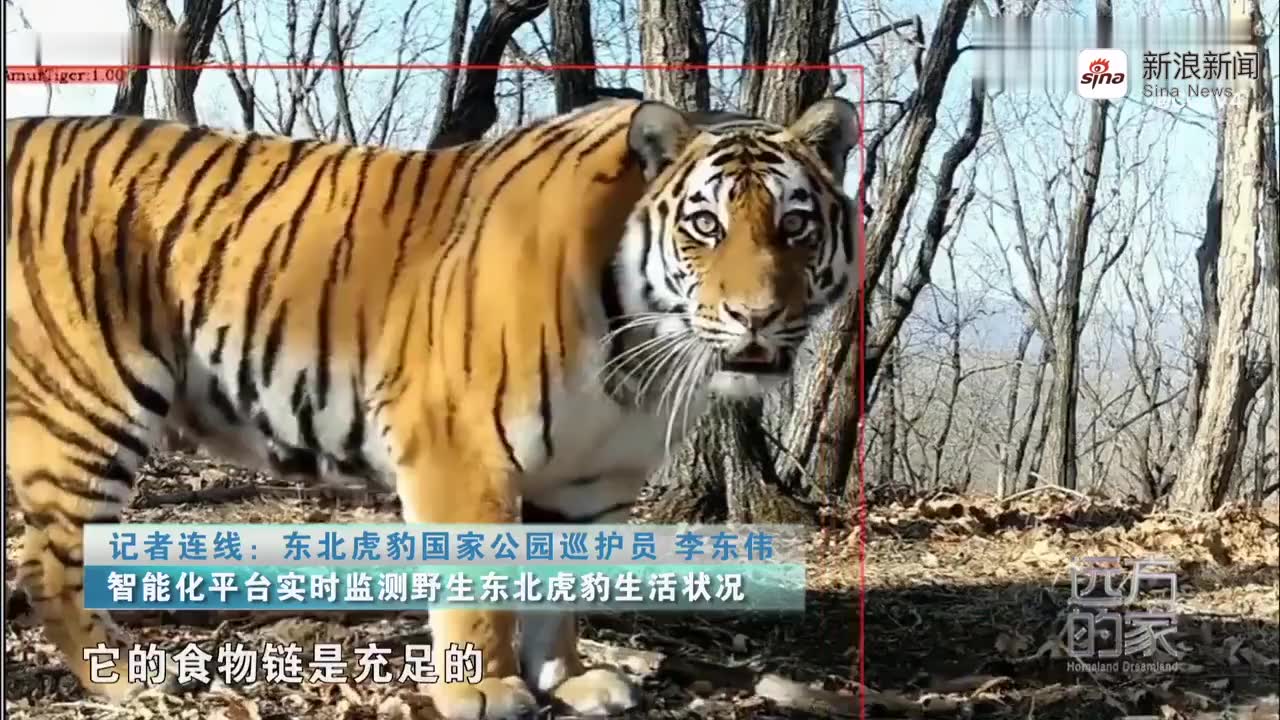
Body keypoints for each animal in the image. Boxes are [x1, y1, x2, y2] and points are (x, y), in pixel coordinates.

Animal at [4, 95, 859, 719]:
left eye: (795, 224)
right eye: (705, 226)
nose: (756, 316)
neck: (638, 350)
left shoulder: (589, 482)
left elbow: (560, 592)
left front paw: (570, 680)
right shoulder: (462, 447)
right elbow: (481, 587)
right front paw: (482, 689)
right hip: (92, 404)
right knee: (48, 560)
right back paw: (127, 676)